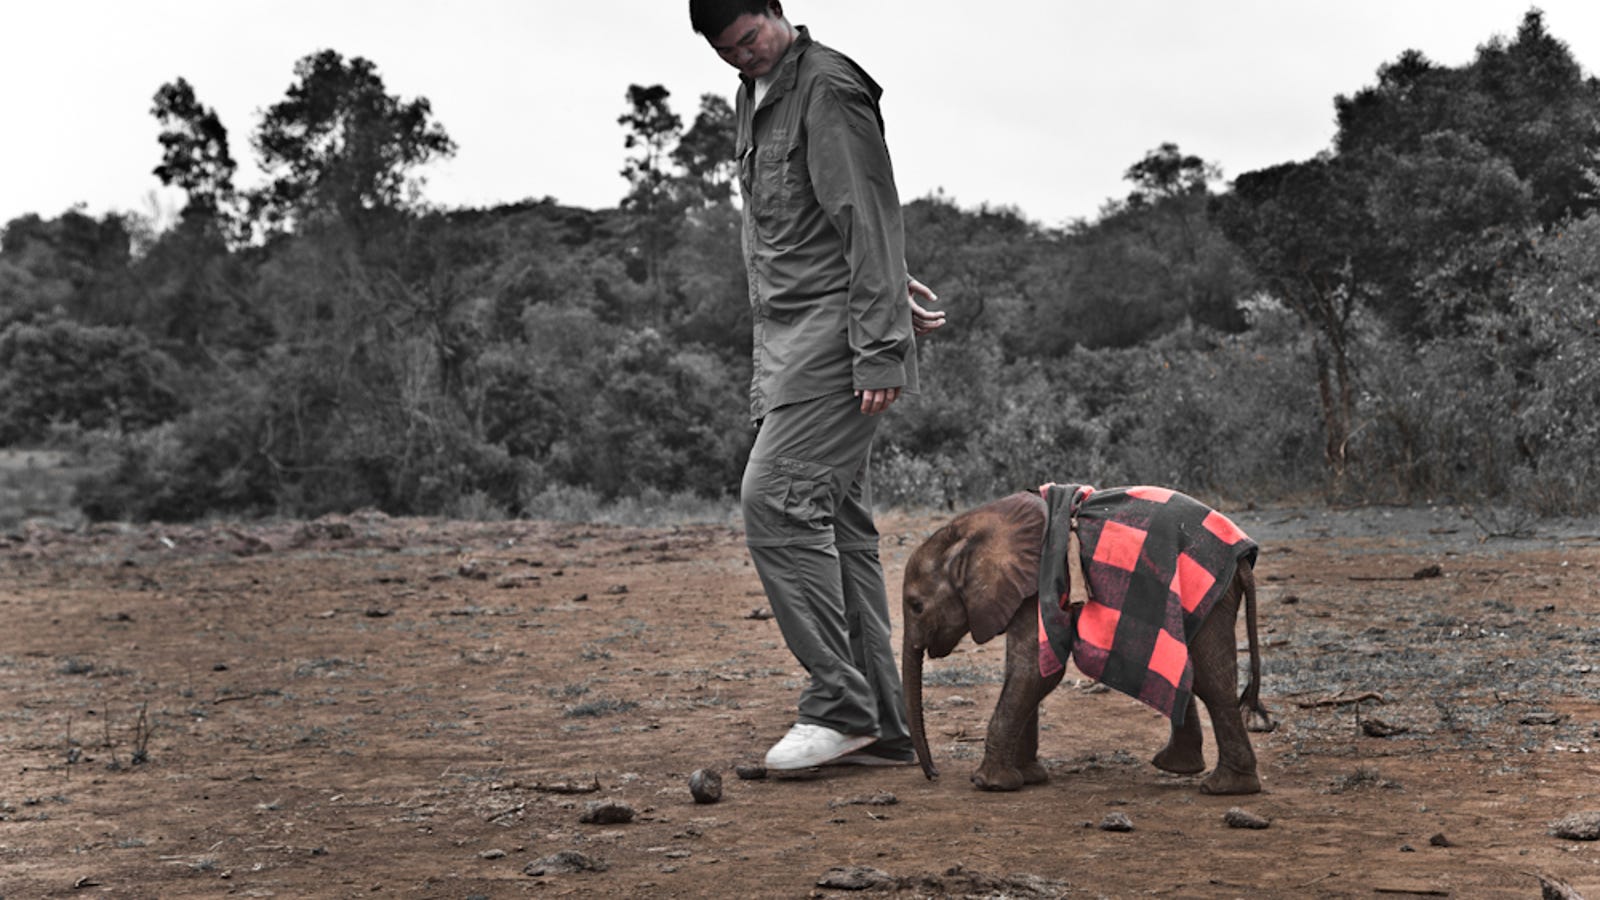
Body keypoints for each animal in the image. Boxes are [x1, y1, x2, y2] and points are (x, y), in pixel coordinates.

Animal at [908, 483, 1267, 791]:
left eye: (915, 606)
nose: (933, 774)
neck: (970, 529)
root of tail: (1244, 556)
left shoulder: (1040, 576)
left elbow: (1033, 670)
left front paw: (989, 784)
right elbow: (1025, 668)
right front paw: (1028, 777)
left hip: (1209, 592)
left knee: (1210, 680)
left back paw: (1223, 787)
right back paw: (1185, 770)